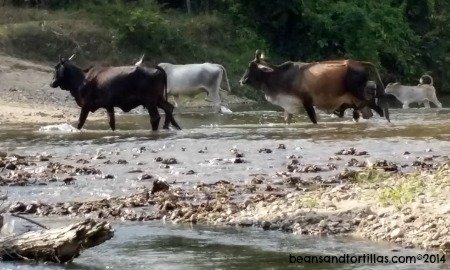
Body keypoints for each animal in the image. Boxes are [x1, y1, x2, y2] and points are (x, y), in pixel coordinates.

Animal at [49, 56, 181, 131]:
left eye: (56, 68)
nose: (51, 83)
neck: (81, 80)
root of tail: (156, 68)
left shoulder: (86, 105)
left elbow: (80, 122)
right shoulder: (109, 106)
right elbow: (111, 123)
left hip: (150, 101)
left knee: (155, 117)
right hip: (158, 99)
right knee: (169, 108)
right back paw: (170, 127)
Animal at [239, 50, 390, 124]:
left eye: (252, 67)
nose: (242, 80)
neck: (281, 76)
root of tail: (361, 63)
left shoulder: (307, 102)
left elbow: (314, 119)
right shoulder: (289, 105)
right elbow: (287, 120)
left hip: (360, 96)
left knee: (377, 109)